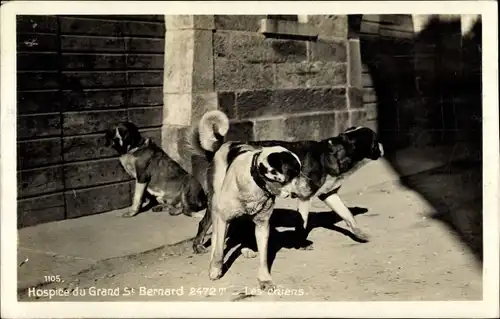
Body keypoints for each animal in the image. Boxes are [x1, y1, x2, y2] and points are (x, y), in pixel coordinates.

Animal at [189, 111, 300, 292]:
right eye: (293, 172)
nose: (311, 184)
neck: (256, 184)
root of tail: (222, 145)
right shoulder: (223, 218)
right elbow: (219, 250)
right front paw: (215, 269)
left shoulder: (262, 225)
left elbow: (264, 257)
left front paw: (264, 280)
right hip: (215, 204)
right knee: (207, 227)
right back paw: (200, 247)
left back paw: (246, 248)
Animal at [193, 111, 384, 254]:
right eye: (375, 141)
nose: (382, 146)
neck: (333, 153)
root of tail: (222, 147)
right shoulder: (305, 197)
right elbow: (302, 224)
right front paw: (302, 244)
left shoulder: (329, 195)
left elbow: (348, 215)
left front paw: (360, 234)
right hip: (217, 198)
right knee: (204, 223)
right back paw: (199, 246)